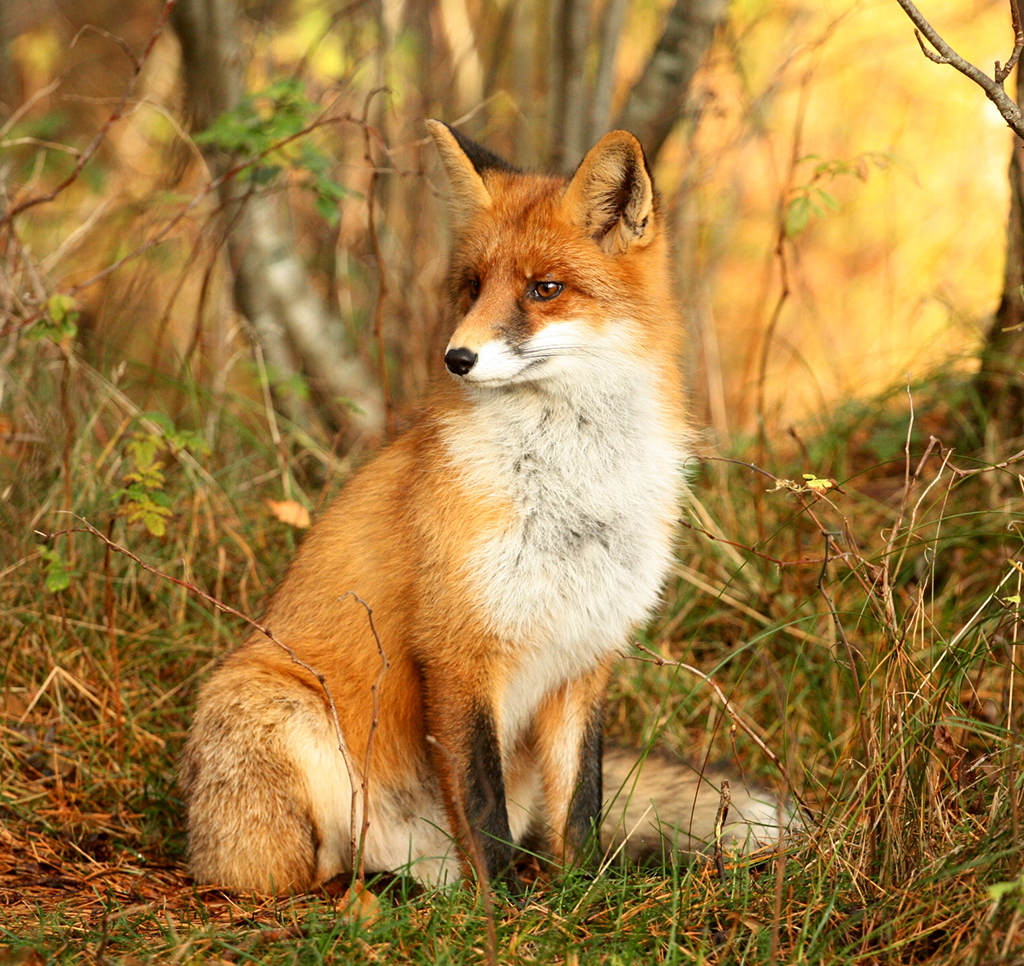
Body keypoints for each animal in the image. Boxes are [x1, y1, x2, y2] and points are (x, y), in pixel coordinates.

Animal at [180, 122, 778, 897]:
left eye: (544, 289)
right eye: (471, 288)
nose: (455, 358)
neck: (570, 495)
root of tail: (404, 851)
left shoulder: (588, 654)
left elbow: (580, 804)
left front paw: (579, 894)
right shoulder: (458, 648)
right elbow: (482, 806)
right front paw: (508, 910)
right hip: (280, 715)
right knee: (310, 871)